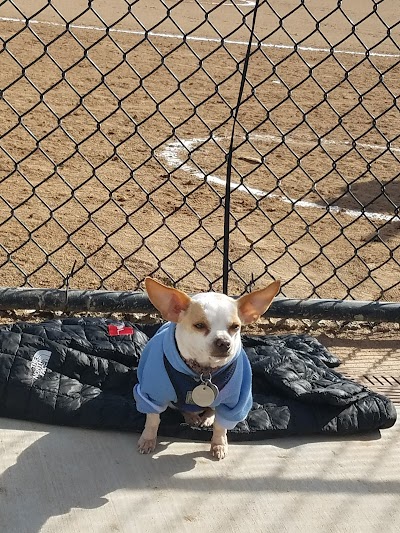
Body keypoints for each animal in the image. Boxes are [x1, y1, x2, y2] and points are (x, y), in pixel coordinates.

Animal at [133, 276, 280, 460]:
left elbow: (221, 426)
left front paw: (219, 444)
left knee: (212, 410)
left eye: (235, 327)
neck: (203, 371)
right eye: (199, 325)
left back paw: (207, 418)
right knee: (182, 407)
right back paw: (191, 417)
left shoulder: (233, 403)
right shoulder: (152, 395)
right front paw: (147, 439)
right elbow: (153, 420)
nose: (224, 342)